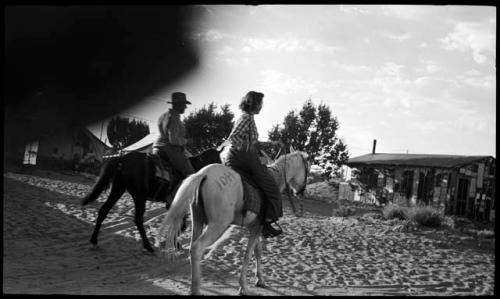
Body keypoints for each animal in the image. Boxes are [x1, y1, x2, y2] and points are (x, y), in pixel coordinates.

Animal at [80, 148, 221, 253]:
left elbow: (181, 224)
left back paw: (94, 240)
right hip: (139, 196)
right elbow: (182, 225)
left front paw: (174, 243)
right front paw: (171, 243)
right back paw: (148, 246)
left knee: (104, 211)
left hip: (118, 189)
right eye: (217, 161)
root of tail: (123, 159)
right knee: (138, 219)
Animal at [159, 151, 308, 296]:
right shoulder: (256, 228)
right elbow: (248, 255)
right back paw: (196, 290)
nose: (301, 192)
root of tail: (204, 174)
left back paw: (192, 287)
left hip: (198, 220)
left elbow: (257, 251)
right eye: (307, 168)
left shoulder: (255, 226)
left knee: (192, 248)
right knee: (197, 248)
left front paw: (259, 279)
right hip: (218, 225)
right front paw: (243, 287)